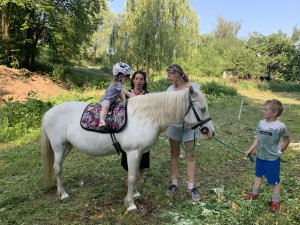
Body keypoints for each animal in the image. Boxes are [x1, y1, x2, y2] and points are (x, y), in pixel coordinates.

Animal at [42, 85, 214, 212]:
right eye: (202, 109)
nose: (211, 133)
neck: (145, 117)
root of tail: (48, 113)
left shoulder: (139, 153)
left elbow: (136, 173)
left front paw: (136, 194)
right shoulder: (132, 153)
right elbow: (131, 177)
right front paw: (130, 203)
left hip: (67, 147)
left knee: (58, 167)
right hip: (59, 147)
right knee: (57, 168)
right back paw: (62, 194)